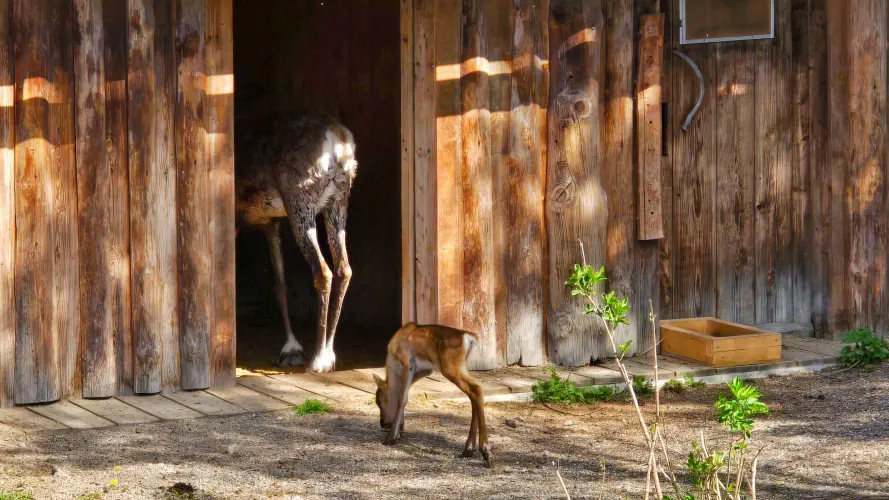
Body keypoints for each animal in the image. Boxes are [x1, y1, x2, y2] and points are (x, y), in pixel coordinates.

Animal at [235, 108, 357, 373]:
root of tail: (339, 138)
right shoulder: (270, 223)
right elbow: (280, 284)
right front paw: (291, 348)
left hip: (300, 203)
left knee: (323, 271)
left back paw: (319, 358)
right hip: (337, 203)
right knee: (344, 269)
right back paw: (329, 353)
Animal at [372, 322, 492, 467]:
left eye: (379, 401)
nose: (382, 423)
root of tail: (469, 337)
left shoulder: (408, 362)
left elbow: (402, 398)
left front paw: (390, 437)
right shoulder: (424, 370)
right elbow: (405, 395)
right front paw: (399, 431)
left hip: (450, 368)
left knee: (476, 389)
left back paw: (485, 451)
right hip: (462, 367)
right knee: (473, 394)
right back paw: (468, 449)